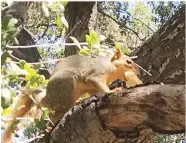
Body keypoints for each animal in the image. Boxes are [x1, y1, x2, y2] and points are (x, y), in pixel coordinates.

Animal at [1, 48, 142, 142]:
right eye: (128, 62)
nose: (139, 73)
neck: (111, 66)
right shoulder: (95, 74)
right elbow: (99, 84)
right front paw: (112, 91)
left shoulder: (92, 88)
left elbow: (96, 91)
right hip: (67, 84)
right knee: (48, 105)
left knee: (54, 114)